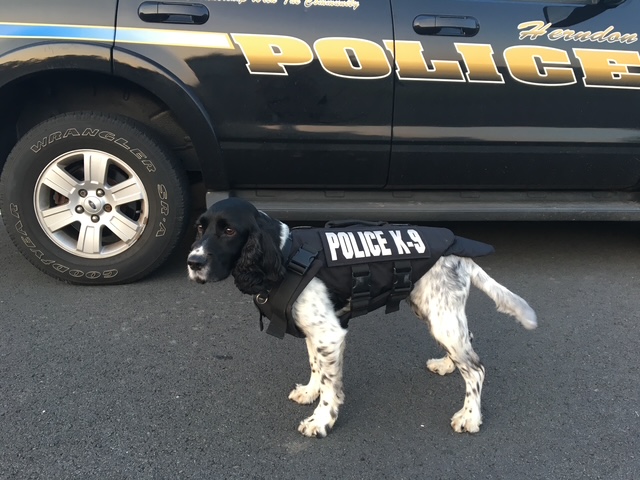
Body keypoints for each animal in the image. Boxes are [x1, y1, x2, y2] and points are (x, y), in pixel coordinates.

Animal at [187, 198, 537, 438]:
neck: (285, 255)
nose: (192, 262)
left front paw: (321, 420)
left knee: (476, 370)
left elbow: (330, 386)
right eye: (201, 227)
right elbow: (316, 368)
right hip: (435, 312)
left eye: (229, 230)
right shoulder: (316, 333)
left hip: (442, 318)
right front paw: (310, 392)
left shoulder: (330, 334)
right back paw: (446, 365)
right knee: (468, 346)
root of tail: (460, 251)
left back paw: (470, 416)